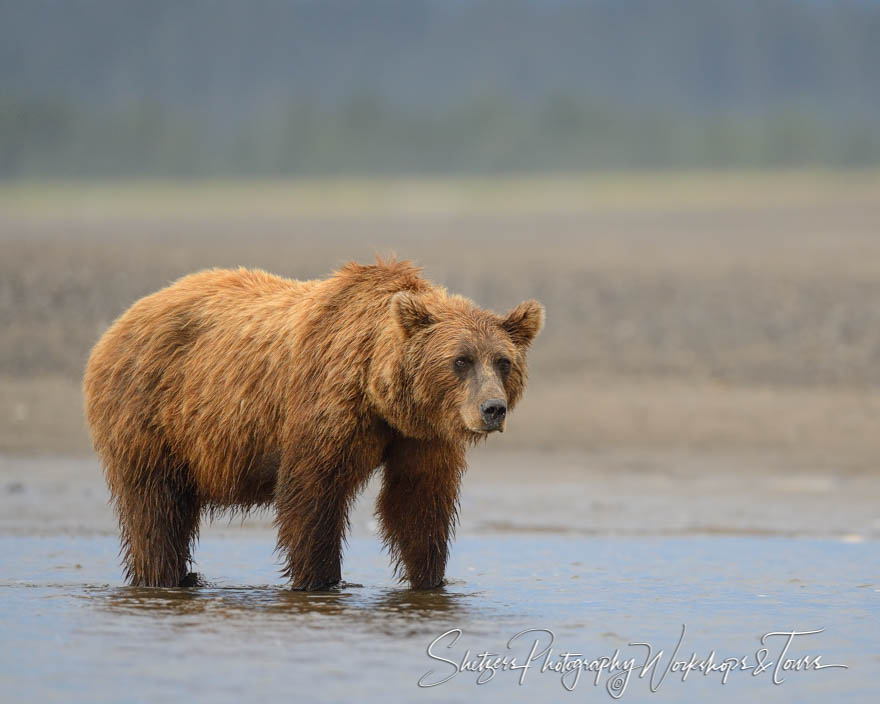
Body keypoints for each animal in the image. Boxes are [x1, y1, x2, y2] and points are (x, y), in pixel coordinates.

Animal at [87, 258, 544, 588]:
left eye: (503, 361)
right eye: (460, 360)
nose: (492, 408)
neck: (378, 389)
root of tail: (120, 322)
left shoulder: (421, 435)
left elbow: (417, 502)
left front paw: (430, 580)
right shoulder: (325, 406)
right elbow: (312, 495)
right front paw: (320, 581)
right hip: (152, 413)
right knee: (156, 508)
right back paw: (162, 577)